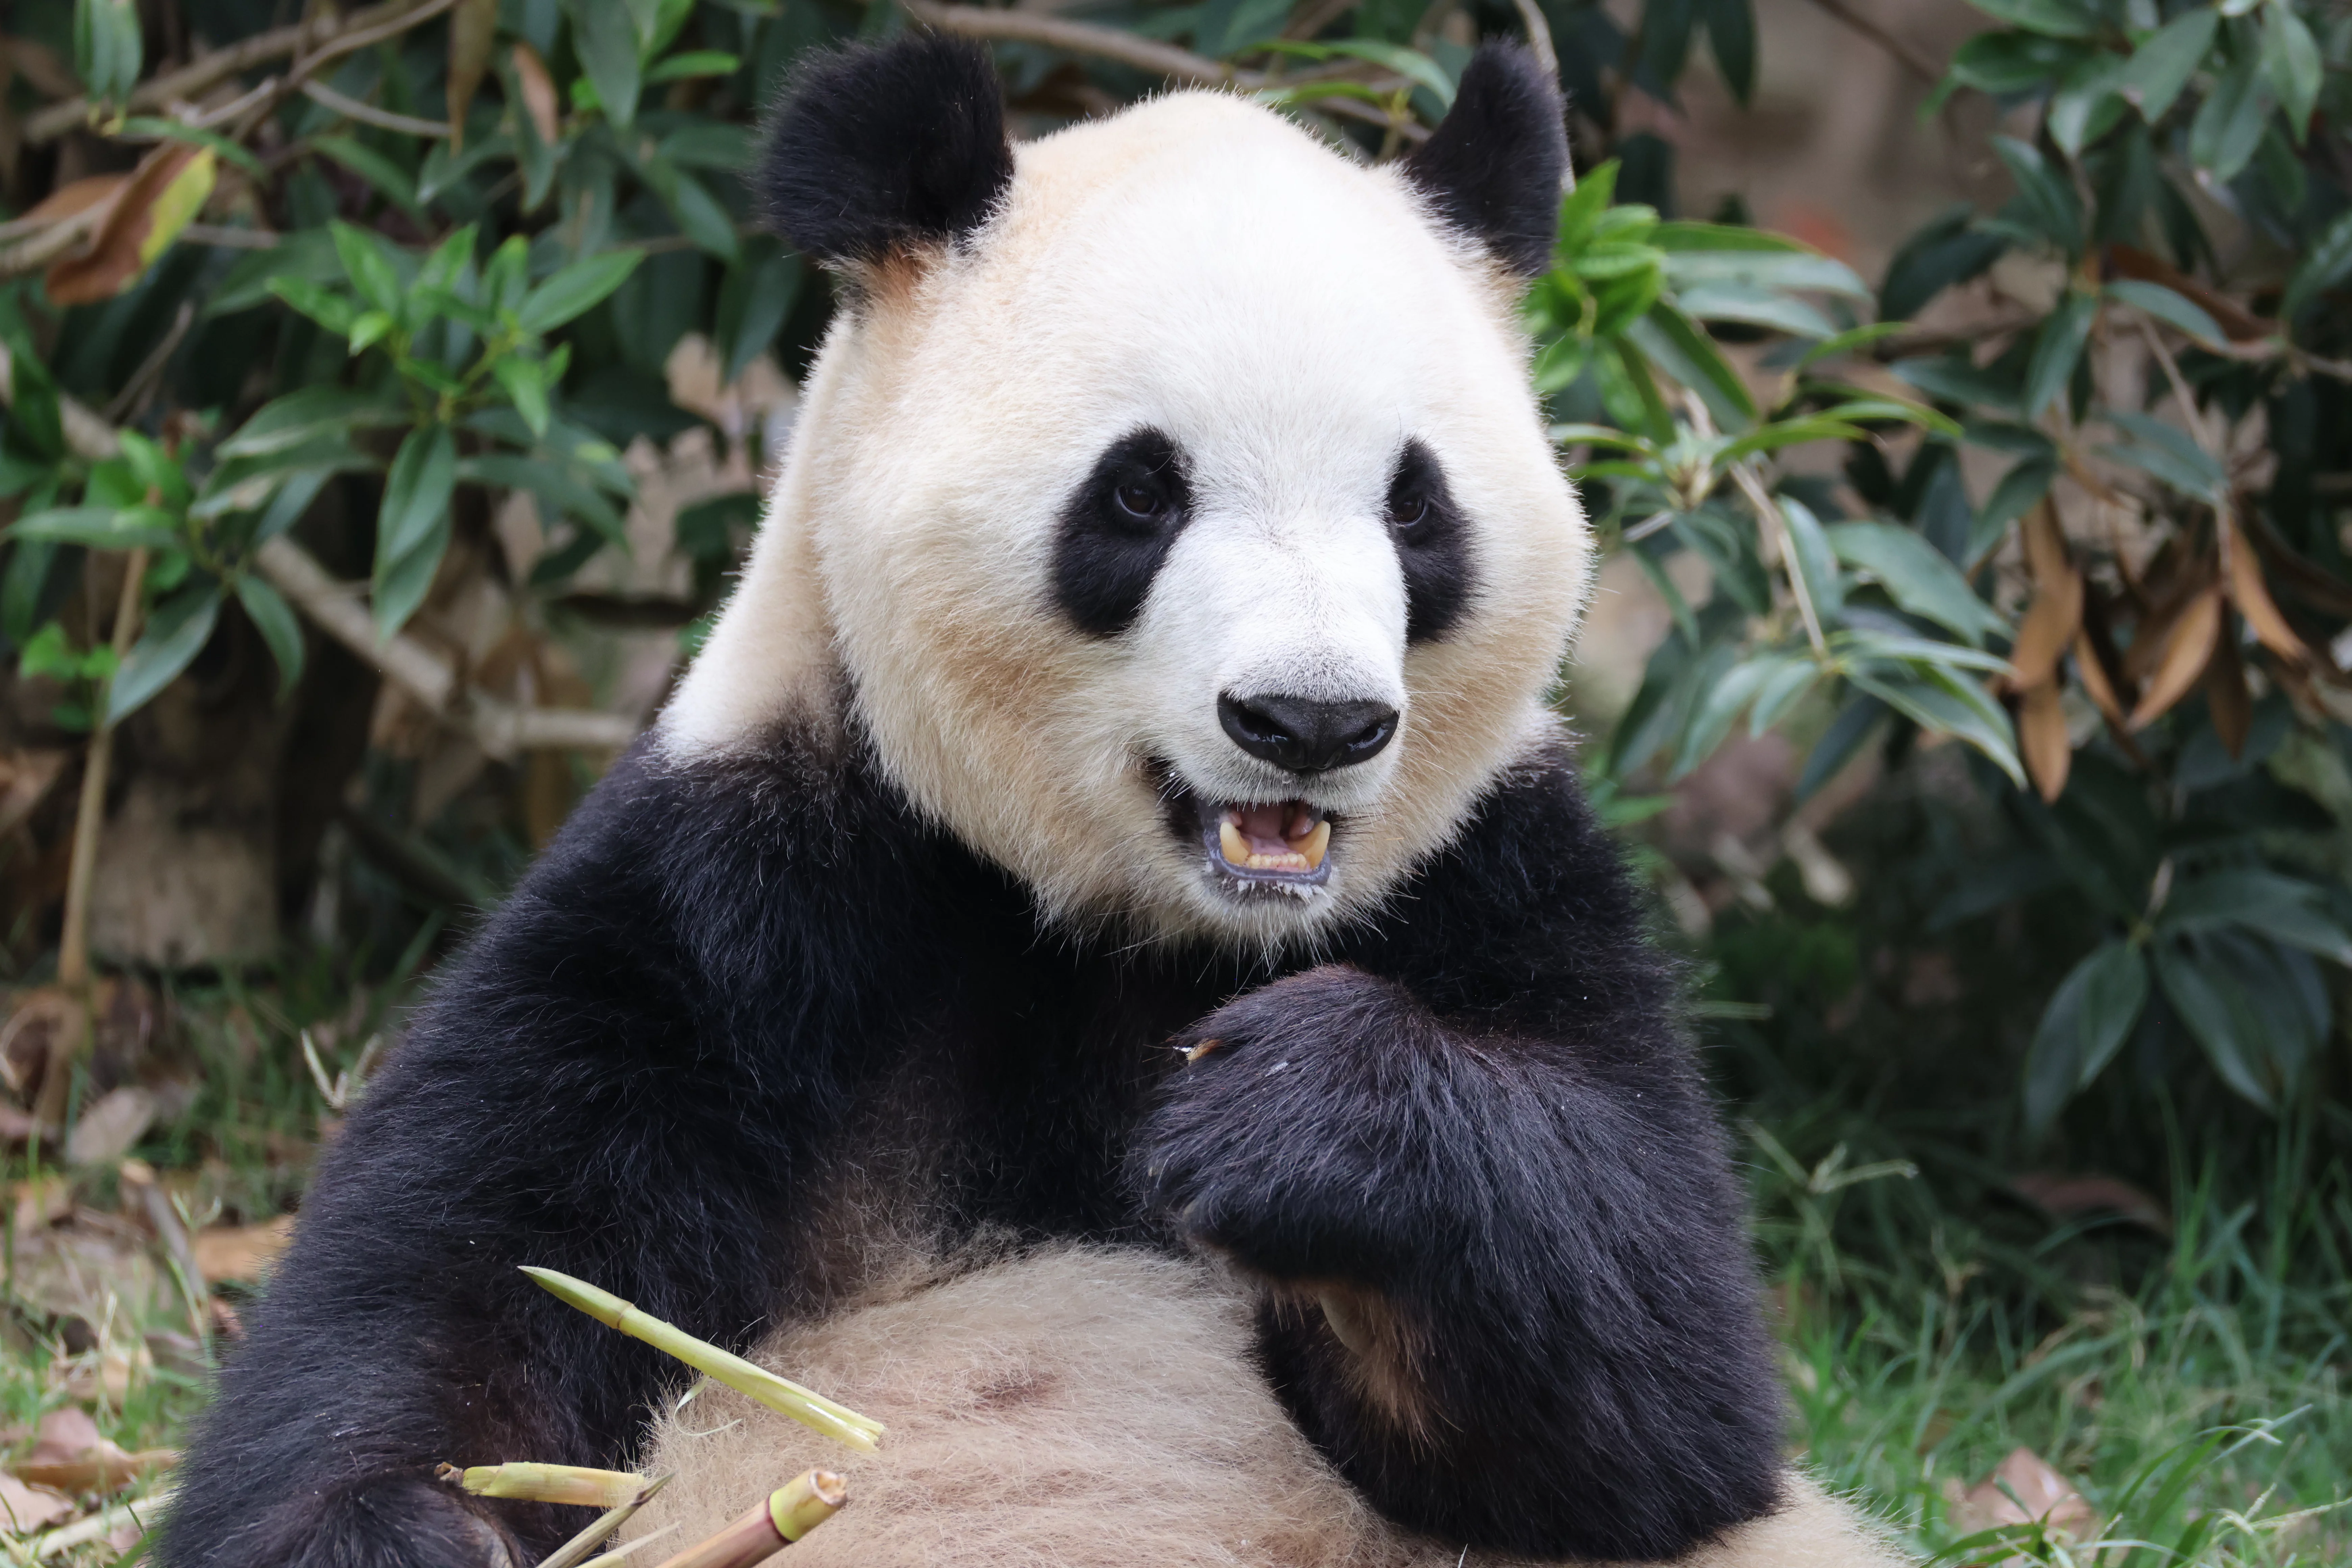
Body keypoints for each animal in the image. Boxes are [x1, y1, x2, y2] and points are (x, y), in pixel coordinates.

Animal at [162, 34, 1909, 1568]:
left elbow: (1663, 1394)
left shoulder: (1502, 878)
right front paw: (395, 1525)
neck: (1140, 928)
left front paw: (1295, 1111)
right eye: (1142, 490)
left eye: (1416, 506)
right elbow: (461, 1281)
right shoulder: (751, 882)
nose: (1309, 721)